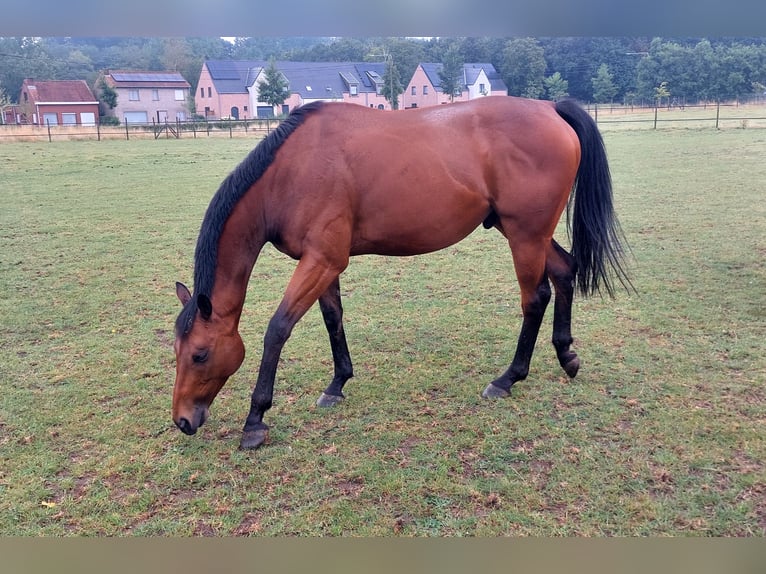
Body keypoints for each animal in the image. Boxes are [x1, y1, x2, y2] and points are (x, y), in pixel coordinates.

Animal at [172, 97, 632, 452]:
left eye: (200, 354)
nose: (182, 420)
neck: (291, 170)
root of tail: (550, 108)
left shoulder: (320, 261)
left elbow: (277, 329)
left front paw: (255, 419)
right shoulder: (325, 262)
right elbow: (333, 319)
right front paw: (337, 383)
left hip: (525, 236)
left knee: (535, 298)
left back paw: (507, 379)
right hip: (525, 233)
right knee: (565, 273)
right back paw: (566, 355)